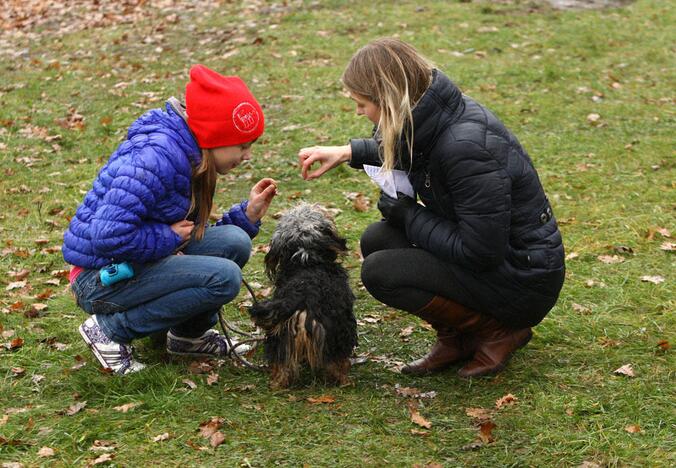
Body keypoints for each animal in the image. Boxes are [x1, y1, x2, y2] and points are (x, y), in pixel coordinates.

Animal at [247, 203, 354, 390]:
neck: (306, 259)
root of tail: (302, 297)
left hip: (281, 334)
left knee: (281, 363)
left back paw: (278, 383)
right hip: (335, 332)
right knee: (336, 361)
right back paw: (342, 379)